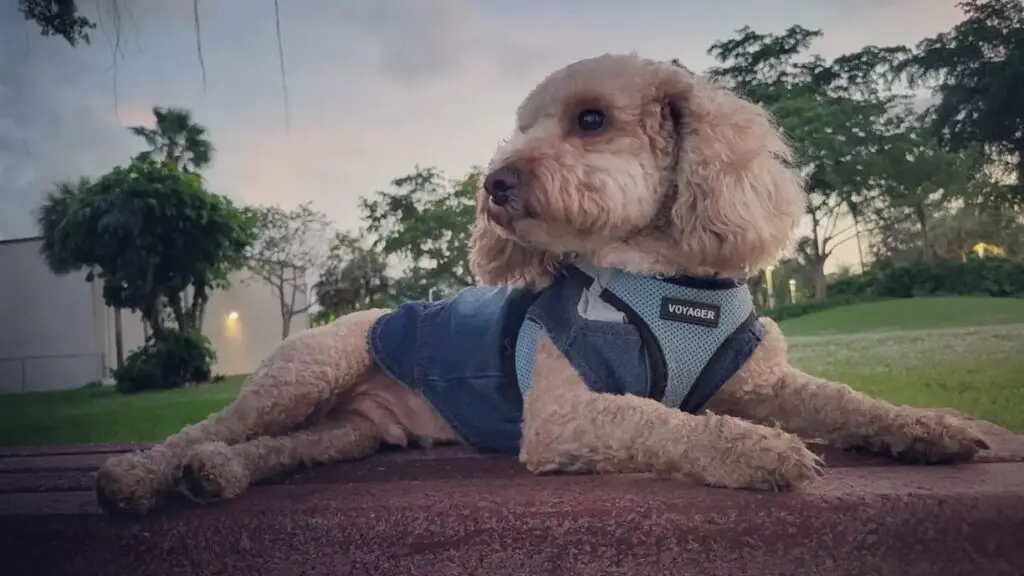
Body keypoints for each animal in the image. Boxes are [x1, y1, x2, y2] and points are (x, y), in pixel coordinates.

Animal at [92, 52, 987, 516]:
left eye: (591, 120)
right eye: (520, 128)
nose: (493, 185)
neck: (667, 282)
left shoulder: (762, 380)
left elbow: (850, 402)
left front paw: (929, 427)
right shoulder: (564, 417)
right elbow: (665, 422)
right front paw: (756, 449)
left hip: (344, 433)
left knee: (268, 450)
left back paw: (220, 476)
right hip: (299, 378)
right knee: (206, 427)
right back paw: (138, 477)